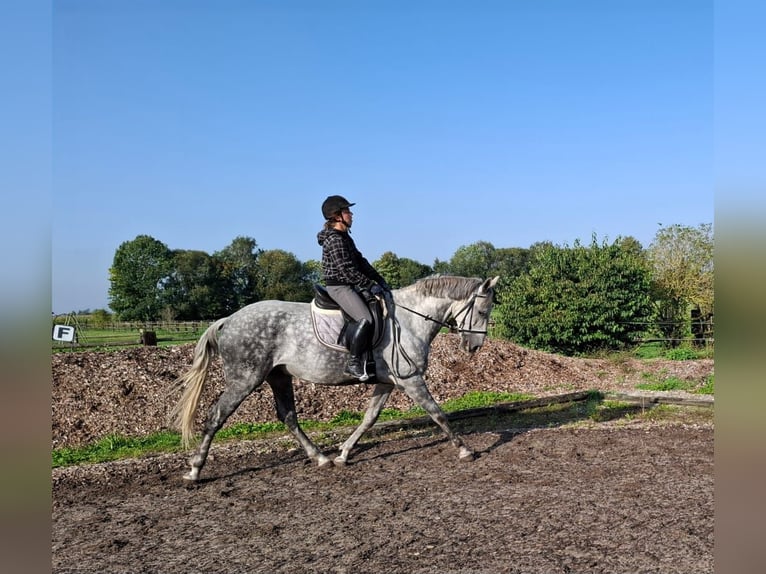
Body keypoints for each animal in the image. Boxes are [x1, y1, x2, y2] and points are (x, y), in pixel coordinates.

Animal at [171, 276, 500, 484]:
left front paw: (343, 454)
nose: (474, 347)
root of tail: (228, 320)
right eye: (483, 309)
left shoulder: (388, 381)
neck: (410, 320)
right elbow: (438, 414)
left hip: (278, 377)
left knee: (288, 416)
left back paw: (321, 458)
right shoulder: (410, 379)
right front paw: (465, 450)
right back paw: (194, 472)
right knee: (216, 416)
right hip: (245, 379)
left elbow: (369, 418)